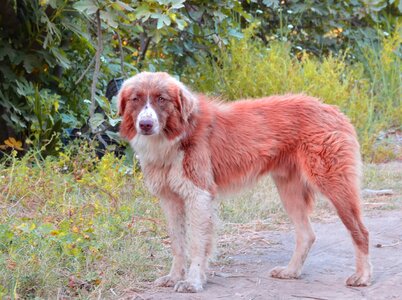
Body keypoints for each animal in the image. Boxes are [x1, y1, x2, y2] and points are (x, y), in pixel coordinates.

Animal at [118, 72, 372, 292]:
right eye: (135, 99)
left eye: (161, 99)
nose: (145, 124)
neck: (178, 134)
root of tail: (332, 109)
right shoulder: (170, 200)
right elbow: (178, 244)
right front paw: (174, 277)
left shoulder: (199, 195)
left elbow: (196, 244)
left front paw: (193, 282)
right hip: (289, 190)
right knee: (307, 234)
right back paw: (291, 271)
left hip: (334, 185)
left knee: (360, 231)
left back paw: (363, 276)